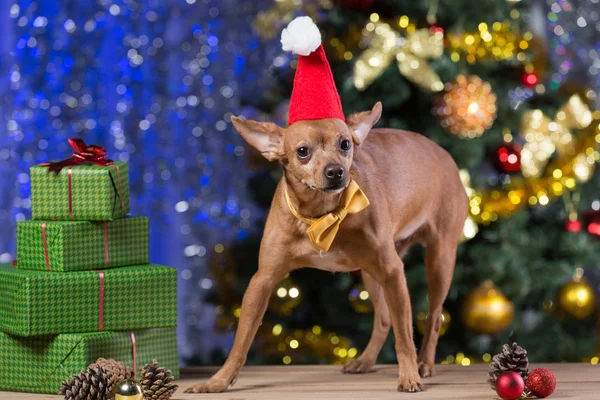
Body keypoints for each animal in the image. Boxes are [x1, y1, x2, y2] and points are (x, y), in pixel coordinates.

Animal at [186, 101, 468, 392]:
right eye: (302, 152)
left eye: (345, 144)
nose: (335, 171)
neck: (322, 216)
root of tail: (444, 153)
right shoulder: (262, 281)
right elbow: (241, 341)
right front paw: (218, 381)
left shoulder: (393, 271)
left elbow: (404, 338)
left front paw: (409, 375)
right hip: (372, 275)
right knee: (383, 318)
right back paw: (365, 361)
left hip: (438, 261)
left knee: (434, 318)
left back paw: (424, 364)